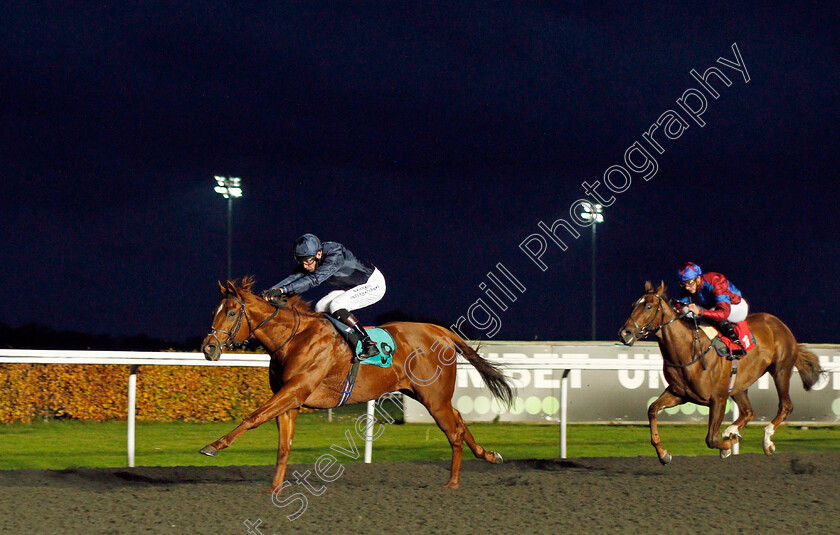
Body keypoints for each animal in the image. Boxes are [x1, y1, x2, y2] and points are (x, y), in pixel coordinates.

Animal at [199, 278, 512, 492]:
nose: (209, 347)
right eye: (214, 311)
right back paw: (489, 455)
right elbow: (283, 446)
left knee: (454, 431)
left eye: (230, 313)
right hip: (423, 394)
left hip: (434, 398)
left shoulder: (295, 391)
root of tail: (440, 331)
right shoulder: (290, 400)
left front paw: (213, 446)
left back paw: (453, 483)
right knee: (458, 418)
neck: (294, 338)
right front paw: (275, 489)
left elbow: (253, 417)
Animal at [616, 280, 820, 464]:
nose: (625, 333)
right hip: (739, 385)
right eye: (633, 305)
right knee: (748, 412)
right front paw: (663, 454)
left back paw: (766, 441)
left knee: (785, 406)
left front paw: (729, 446)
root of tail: (778, 323)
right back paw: (731, 432)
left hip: (780, 369)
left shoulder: (718, 398)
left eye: (649, 306)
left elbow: (711, 440)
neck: (688, 351)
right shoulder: (679, 394)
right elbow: (652, 409)